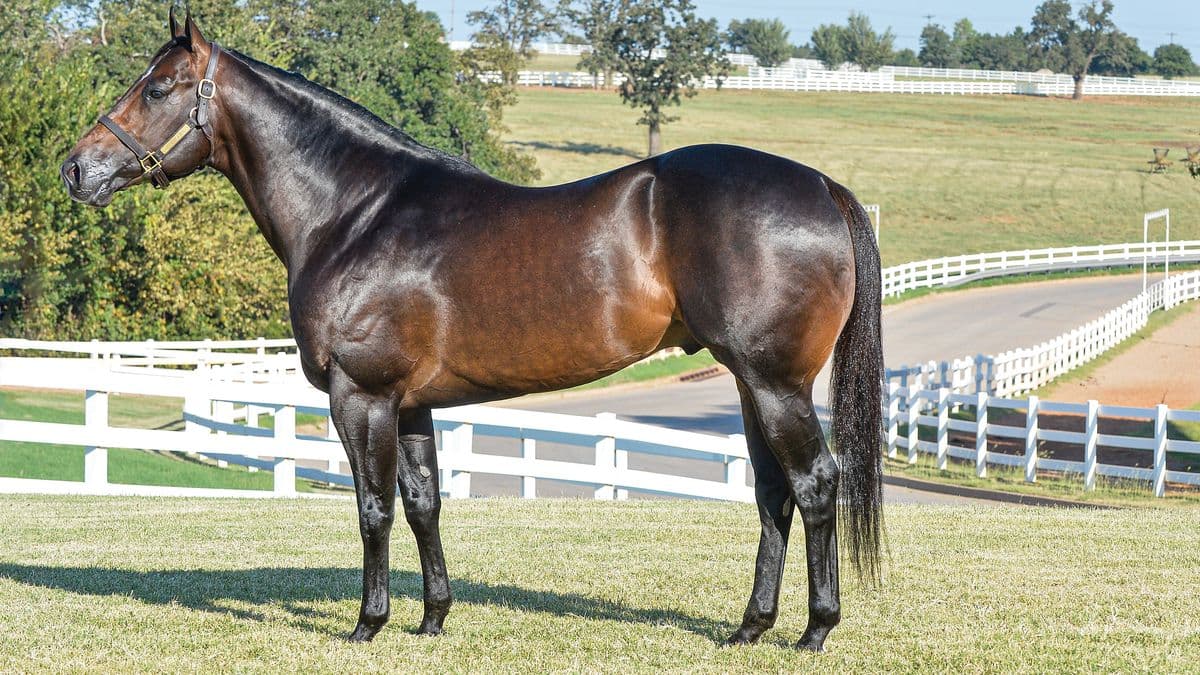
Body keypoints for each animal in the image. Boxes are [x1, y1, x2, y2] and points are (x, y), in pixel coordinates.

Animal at [62, 11, 884, 651]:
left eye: (157, 88)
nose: (75, 169)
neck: (356, 212)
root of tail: (822, 187)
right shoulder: (412, 405)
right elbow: (423, 503)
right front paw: (432, 619)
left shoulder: (360, 396)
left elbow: (373, 507)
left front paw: (367, 623)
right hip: (752, 385)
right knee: (774, 494)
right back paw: (749, 627)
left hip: (775, 385)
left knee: (815, 484)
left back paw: (815, 628)